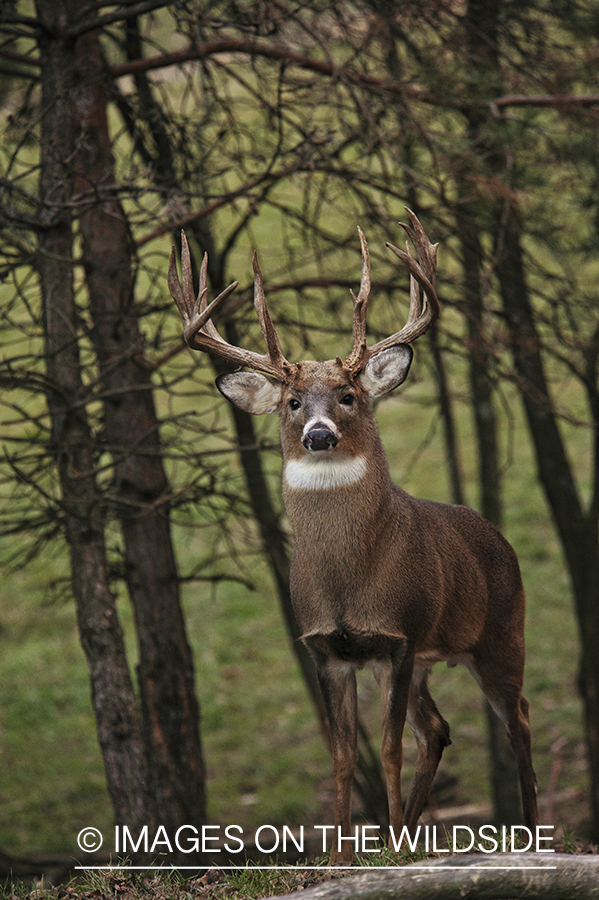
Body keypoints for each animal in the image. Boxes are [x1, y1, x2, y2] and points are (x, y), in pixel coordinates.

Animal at [168, 211, 540, 864]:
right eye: (292, 401)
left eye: (348, 395)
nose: (318, 434)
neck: (349, 579)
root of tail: (499, 537)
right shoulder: (328, 648)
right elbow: (343, 754)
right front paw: (343, 855)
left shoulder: (400, 635)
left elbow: (386, 749)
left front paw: (388, 849)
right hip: (432, 659)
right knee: (437, 730)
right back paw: (409, 830)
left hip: (499, 632)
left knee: (516, 716)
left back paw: (522, 832)